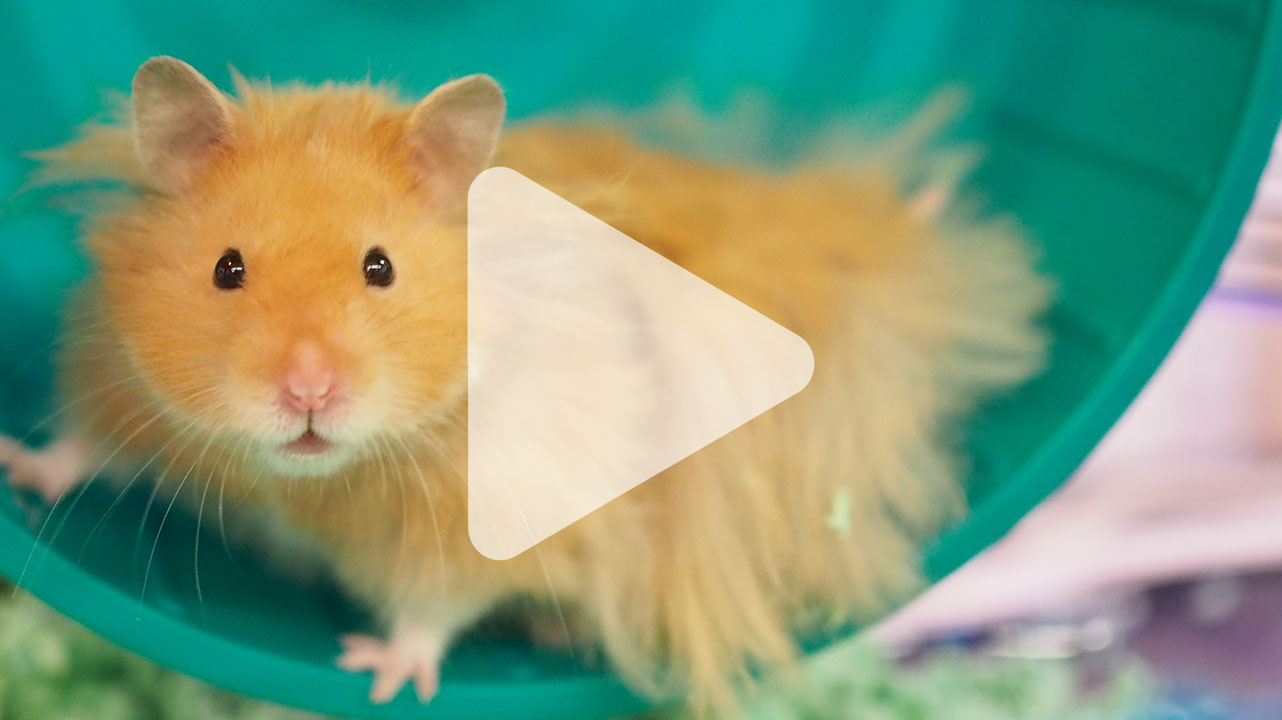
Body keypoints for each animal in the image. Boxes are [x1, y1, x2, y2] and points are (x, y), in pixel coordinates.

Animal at [0, 56, 1049, 712]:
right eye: (227, 269)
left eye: (380, 268)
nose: (307, 394)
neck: (306, 484)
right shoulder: (120, 386)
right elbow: (83, 448)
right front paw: (21, 468)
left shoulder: (487, 520)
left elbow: (433, 606)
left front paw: (377, 674)